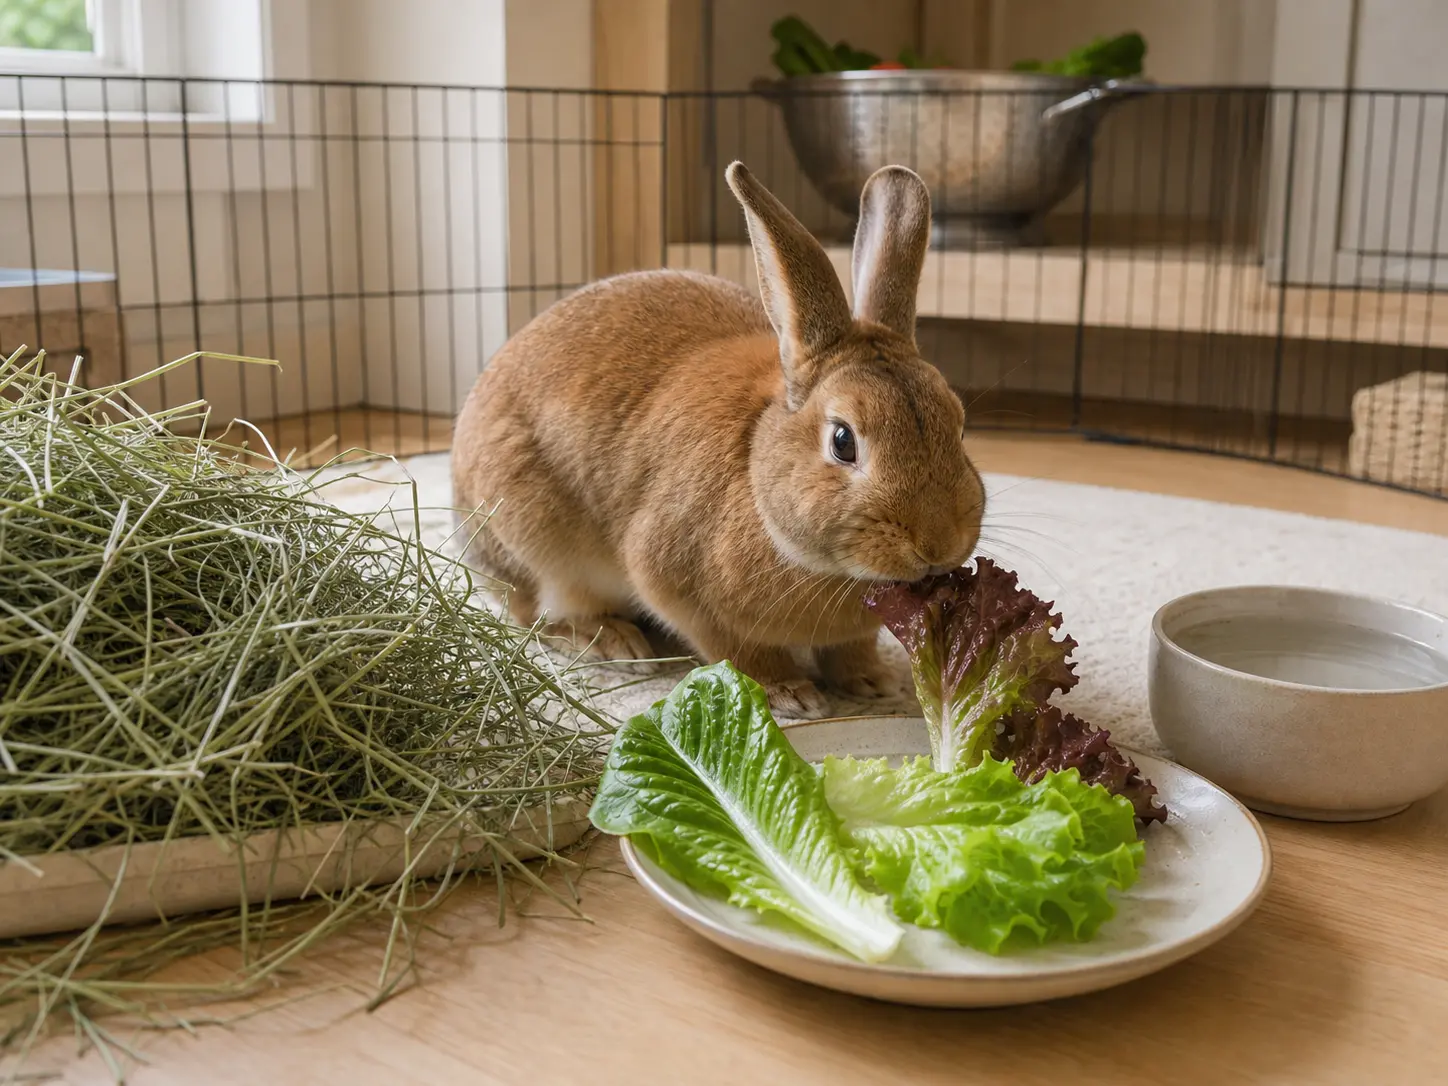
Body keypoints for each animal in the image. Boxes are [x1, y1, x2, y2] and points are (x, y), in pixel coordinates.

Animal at [452, 160, 985, 719]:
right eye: (843, 442)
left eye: (959, 425)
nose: (937, 546)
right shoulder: (676, 584)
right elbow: (736, 650)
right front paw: (792, 693)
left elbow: (849, 649)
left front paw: (875, 683)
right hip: (541, 551)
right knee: (538, 615)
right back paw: (615, 642)